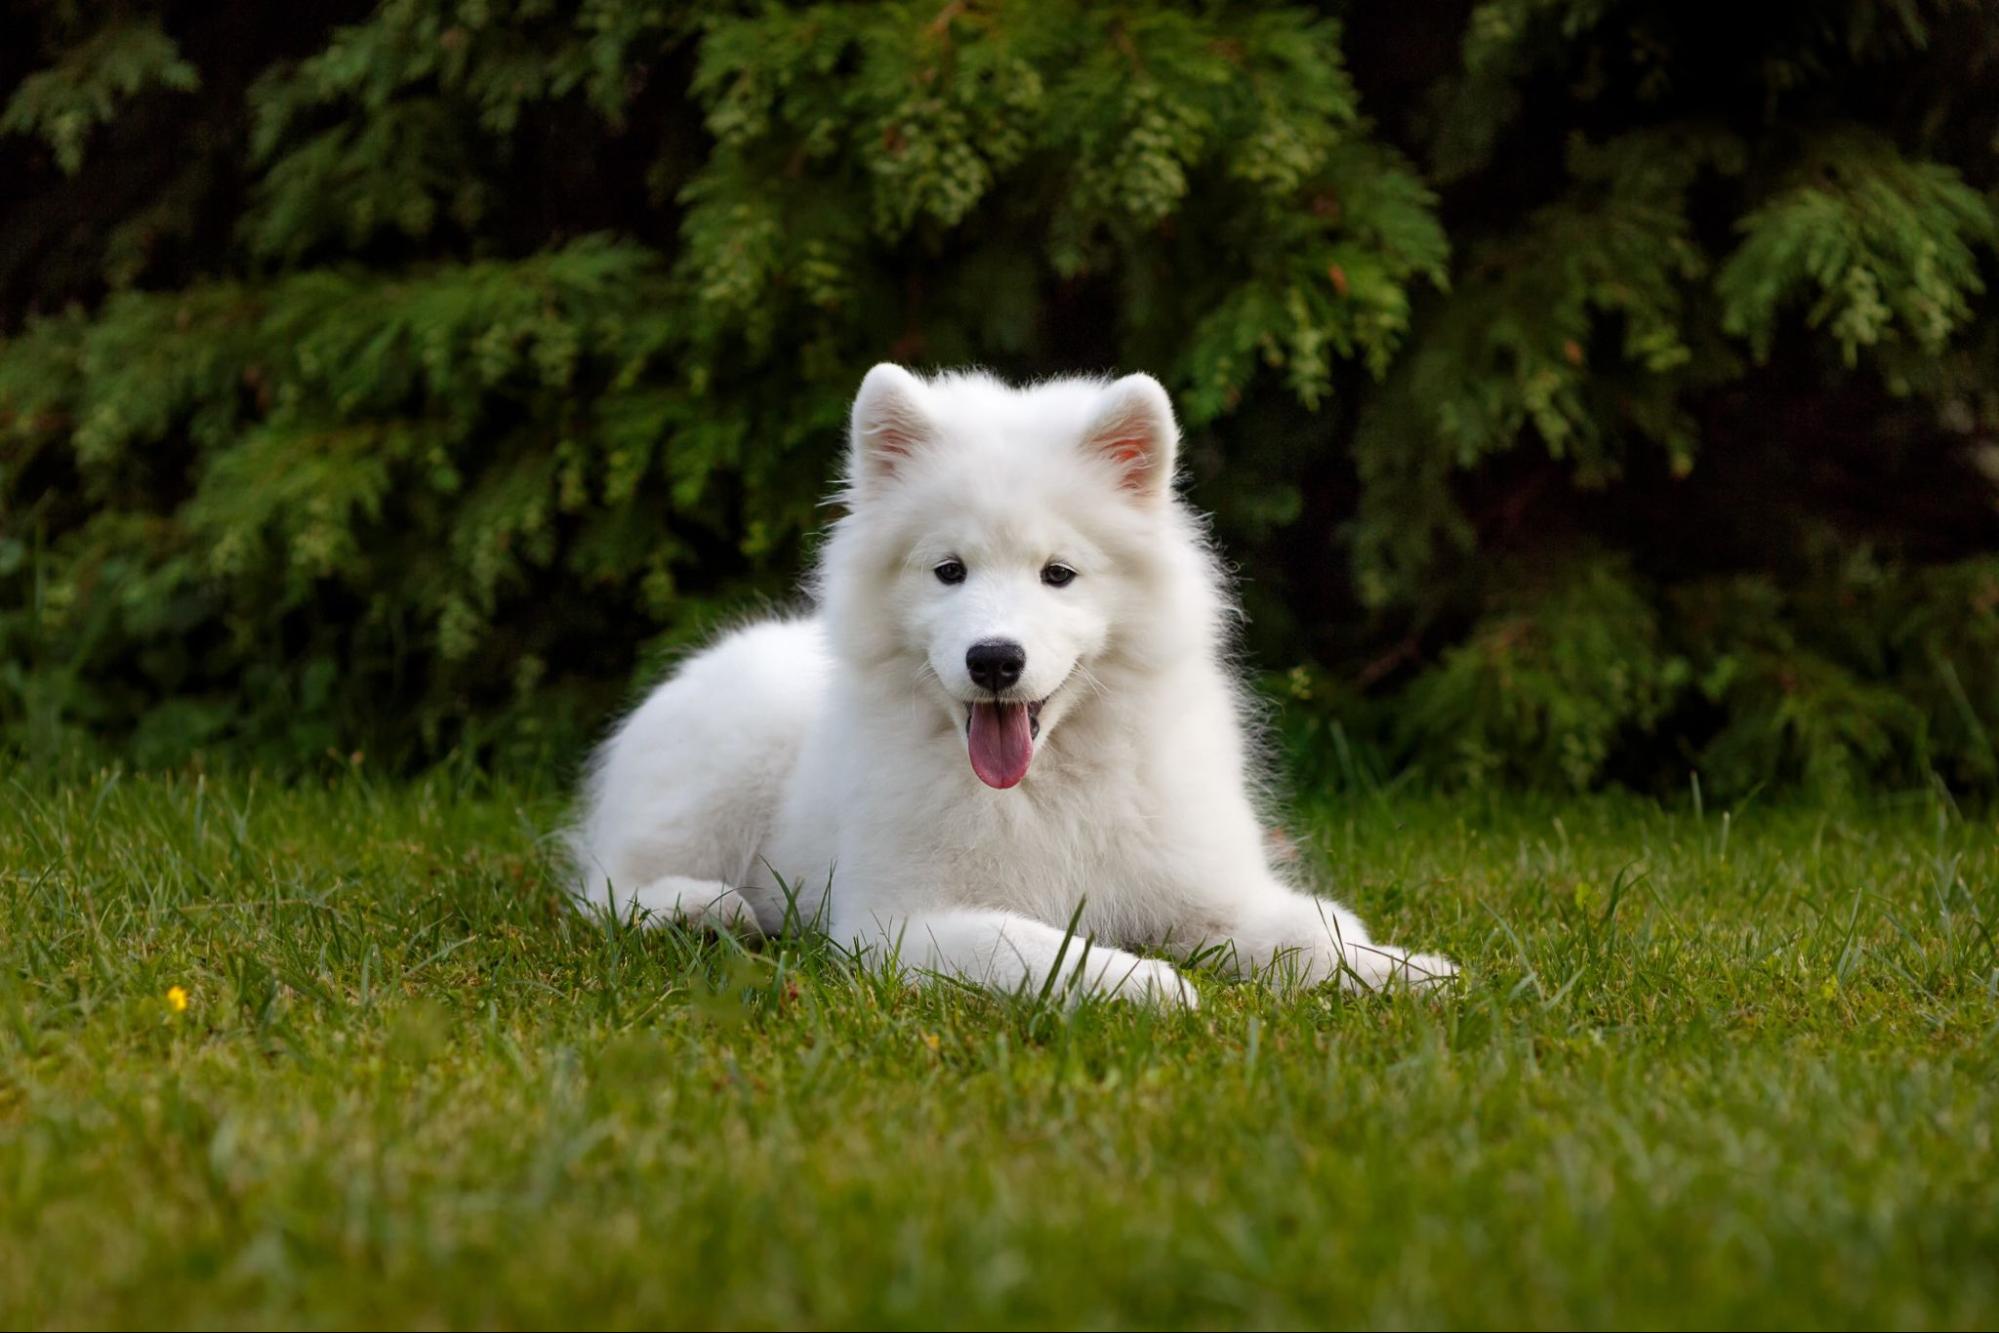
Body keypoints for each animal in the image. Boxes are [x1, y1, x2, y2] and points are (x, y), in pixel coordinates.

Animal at [571, 359, 1463, 1007]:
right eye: (949, 571)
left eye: (1057, 573)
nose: (994, 659)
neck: (1045, 785)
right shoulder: (900, 922)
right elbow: (1040, 946)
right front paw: (1150, 985)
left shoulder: (1203, 892)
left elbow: (1312, 931)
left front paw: (1408, 970)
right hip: (713, 785)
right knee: (605, 886)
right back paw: (703, 909)